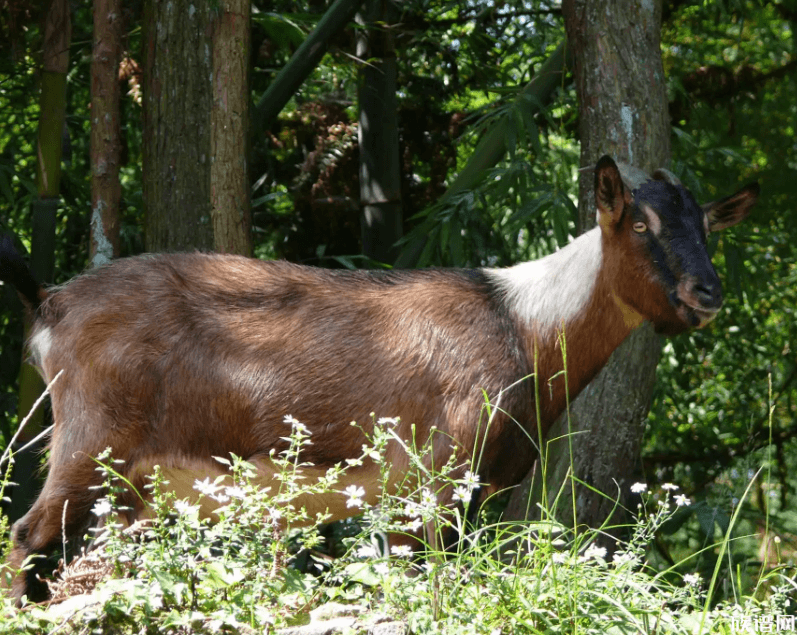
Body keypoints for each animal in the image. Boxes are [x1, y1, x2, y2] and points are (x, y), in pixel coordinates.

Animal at [1, 155, 760, 600]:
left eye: (708, 228)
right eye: (640, 223)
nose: (706, 292)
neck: (523, 324)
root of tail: (51, 304)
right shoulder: (428, 478)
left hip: (131, 489)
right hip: (89, 445)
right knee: (25, 537)